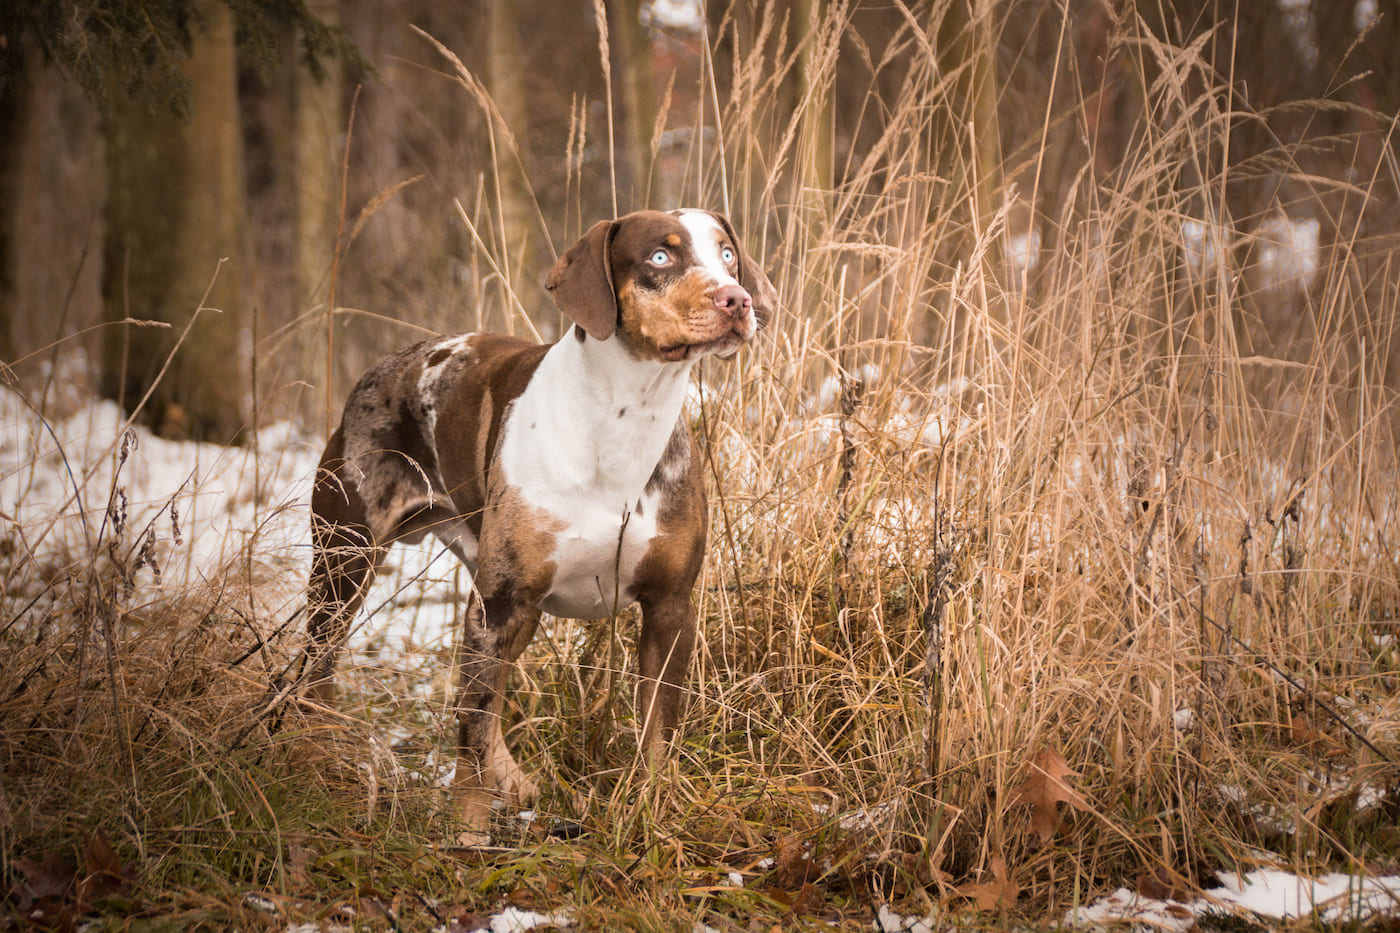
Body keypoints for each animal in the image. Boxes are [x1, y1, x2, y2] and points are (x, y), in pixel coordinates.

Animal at [305, 207, 778, 840]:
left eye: (727, 254)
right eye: (660, 256)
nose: (738, 299)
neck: (626, 418)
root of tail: (387, 365)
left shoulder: (670, 606)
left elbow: (658, 734)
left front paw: (652, 817)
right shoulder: (500, 602)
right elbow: (474, 732)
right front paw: (469, 835)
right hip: (344, 564)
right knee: (318, 670)